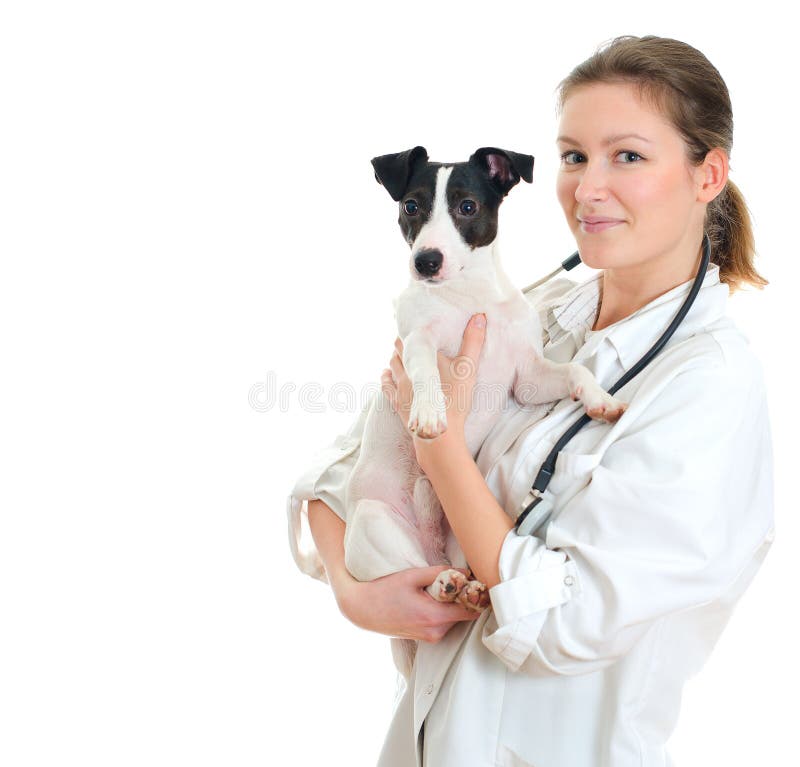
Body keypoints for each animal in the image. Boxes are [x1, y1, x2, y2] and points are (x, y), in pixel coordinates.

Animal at [340, 146, 624, 680]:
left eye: (467, 207)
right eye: (411, 206)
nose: (425, 261)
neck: (466, 297)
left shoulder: (529, 377)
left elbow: (575, 369)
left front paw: (600, 397)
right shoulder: (417, 342)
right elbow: (425, 368)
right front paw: (431, 413)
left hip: (461, 542)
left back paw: (469, 588)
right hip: (374, 524)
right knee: (419, 578)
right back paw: (445, 585)